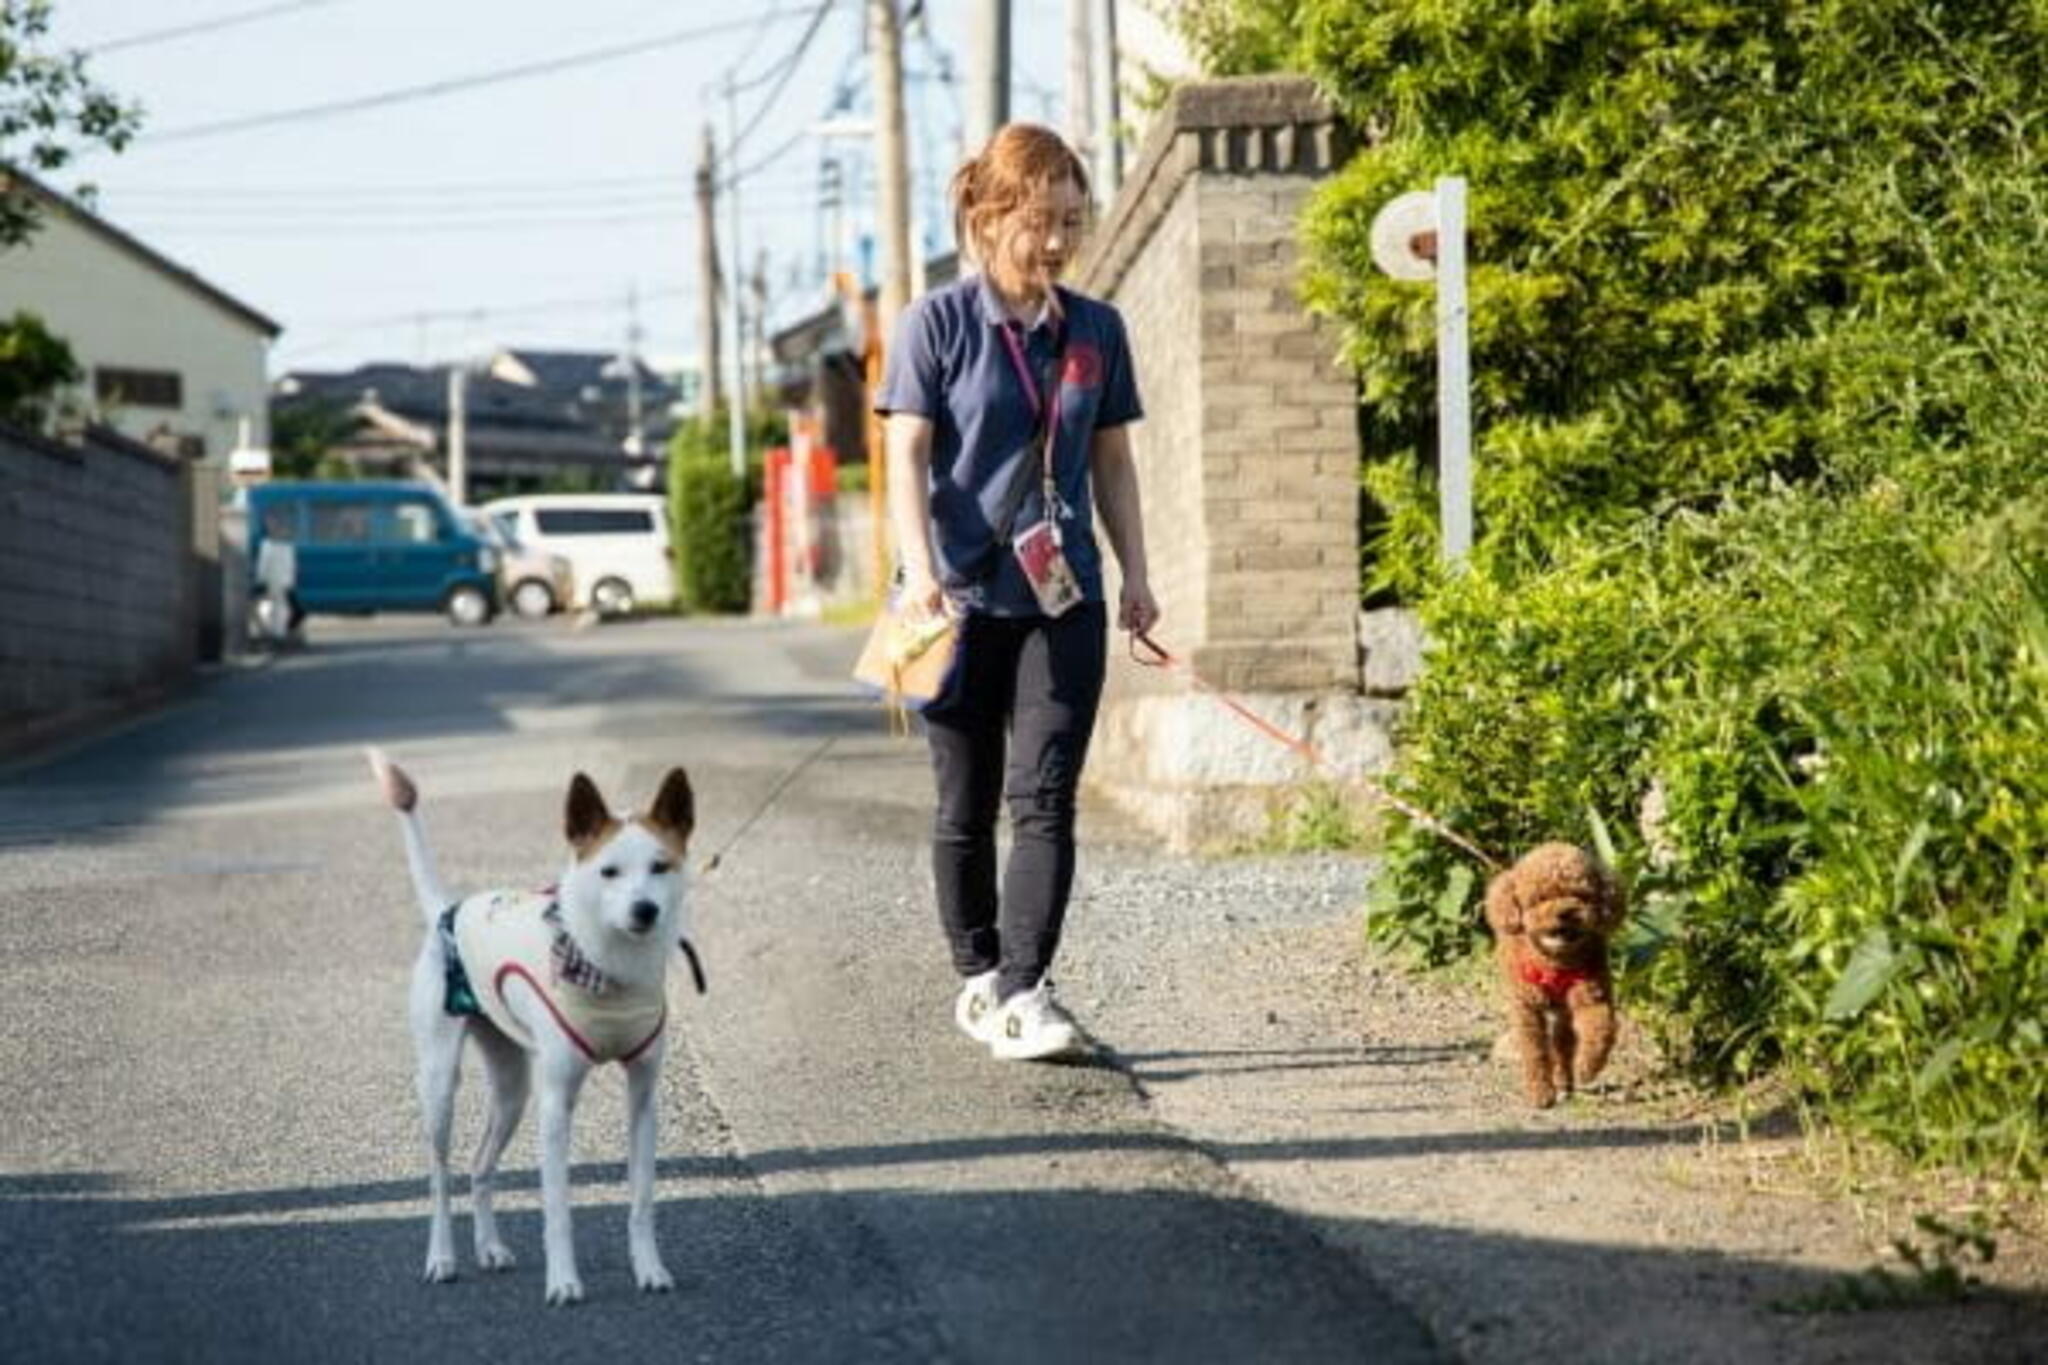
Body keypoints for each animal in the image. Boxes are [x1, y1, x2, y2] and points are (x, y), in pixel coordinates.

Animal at [360, 753, 696, 1309]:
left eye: (660, 867)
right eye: (609, 872)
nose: (645, 910)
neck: (609, 966)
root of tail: (447, 910)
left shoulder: (644, 1097)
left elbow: (642, 1198)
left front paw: (650, 1269)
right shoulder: (556, 1104)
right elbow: (557, 1208)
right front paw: (563, 1282)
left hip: (513, 1089)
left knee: (479, 1166)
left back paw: (490, 1248)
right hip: (440, 1085)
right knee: (440, 1178)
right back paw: (442, 1257)